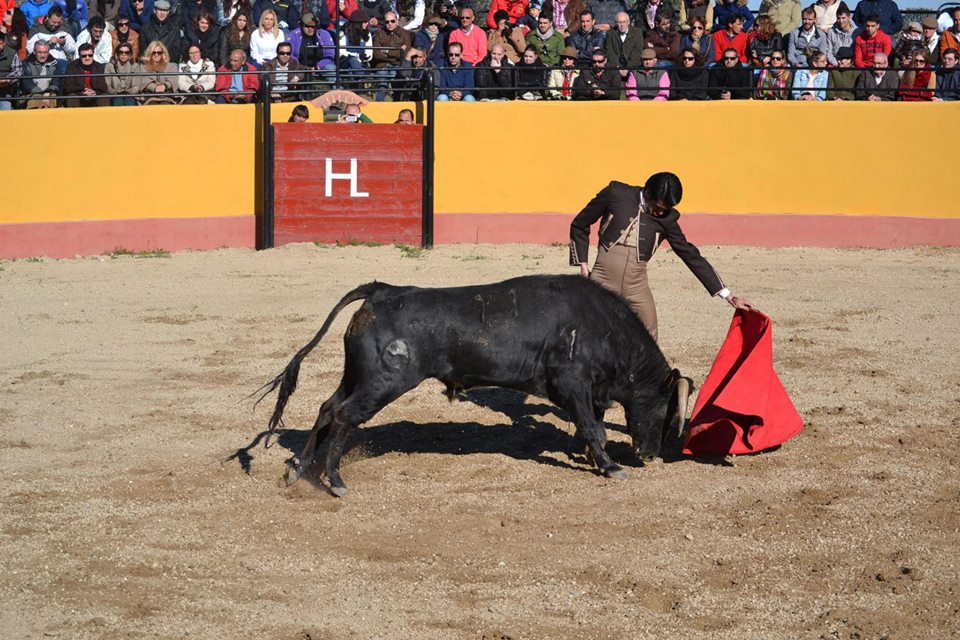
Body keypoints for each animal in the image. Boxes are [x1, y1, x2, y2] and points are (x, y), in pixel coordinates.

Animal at [255, 274, 688, 496]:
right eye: (664, 408)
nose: (651, 455)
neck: (603, 327)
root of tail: (382, 290)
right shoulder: (574, 385)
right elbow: (594, 429)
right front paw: (611, 467)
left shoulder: (588, 393)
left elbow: (593, 428)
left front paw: (592, 458)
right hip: (383, 381)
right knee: (344, 416)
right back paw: (335, 481)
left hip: (357, 375)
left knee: (328, 408)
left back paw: (298, 470)